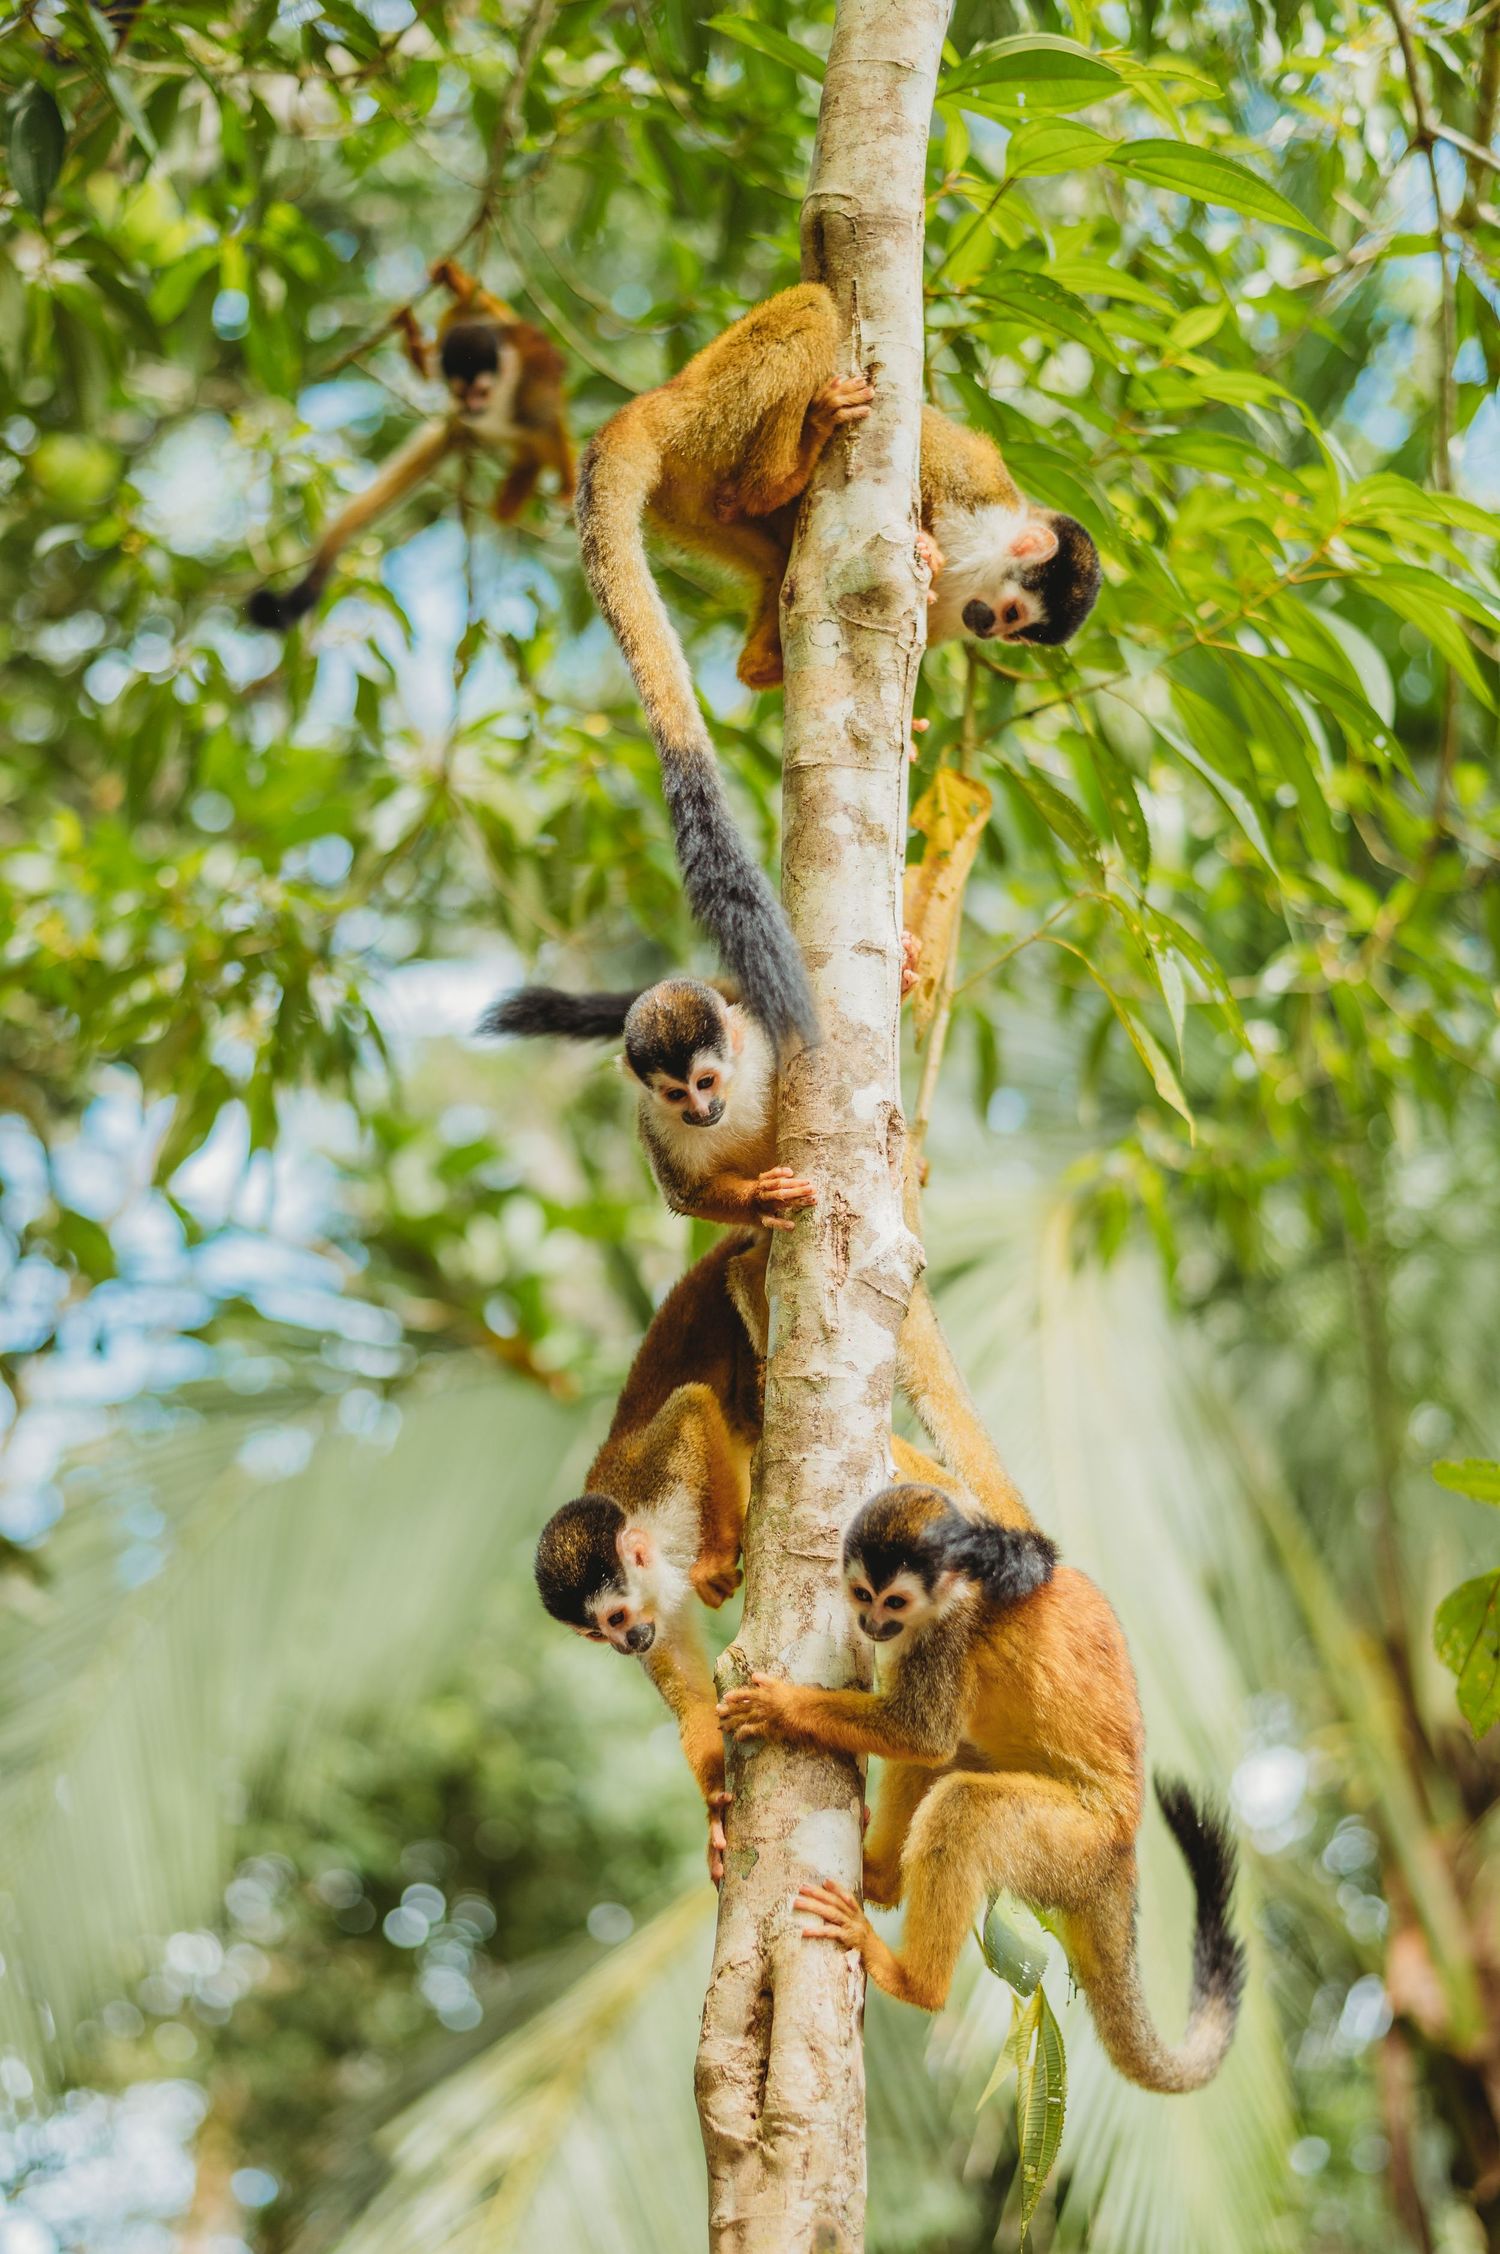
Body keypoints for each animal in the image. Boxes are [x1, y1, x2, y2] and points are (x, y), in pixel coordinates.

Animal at [248, 260, 574, 632]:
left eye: (481, 392)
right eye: (462, 392)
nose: (469, 408)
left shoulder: (529, 390)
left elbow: (549, 425)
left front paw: (568, 490)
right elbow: (452, 339)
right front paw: (426, 320)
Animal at [573, 282, 1099, 1045]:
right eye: (1010, 615)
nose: (989, 629)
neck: (974, 567)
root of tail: (659, 399)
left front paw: (909, 733)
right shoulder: (973, 489)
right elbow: (934, 450)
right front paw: (927, 544)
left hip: (687, 501)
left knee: (756, 545)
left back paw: (763, 639)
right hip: (711, 412)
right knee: (816, 305)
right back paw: (779, 471)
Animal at [717, 1481, 1245, 2094]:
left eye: (894, 1602)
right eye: (863, 1593)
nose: (871, 1624)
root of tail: (1122, 1851)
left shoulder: (953, 1630)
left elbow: (919, 1734)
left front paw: (782, 1708)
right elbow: (926, 1743)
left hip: (1071, 1842)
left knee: (963, 1804)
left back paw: (912, 1980)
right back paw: (883, 1878)